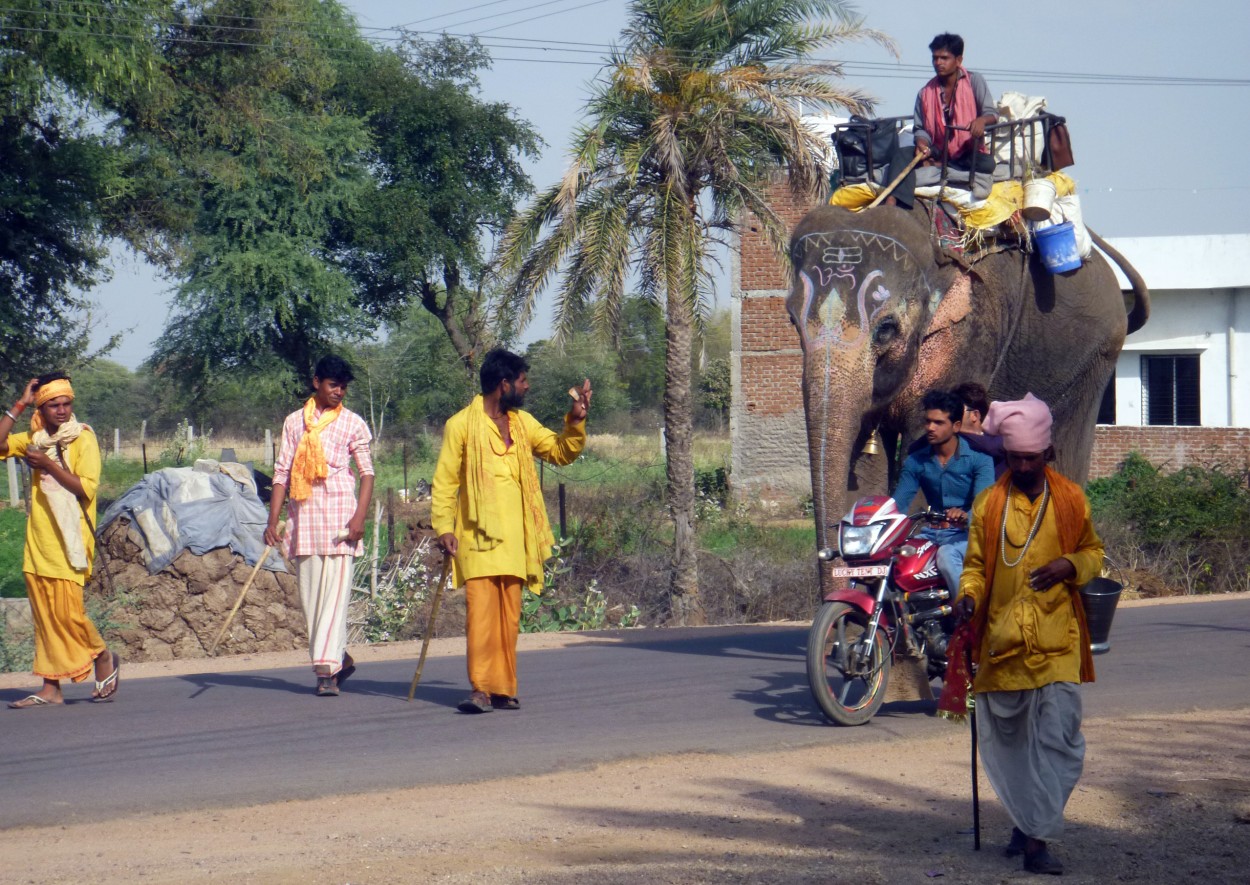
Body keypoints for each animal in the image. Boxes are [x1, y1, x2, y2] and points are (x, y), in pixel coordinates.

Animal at [785, 205, 1145, 585]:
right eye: (792, 321)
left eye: (886, 329)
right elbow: (867, 462)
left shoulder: (969, 334)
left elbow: (921, 456)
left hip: (1094, 361)